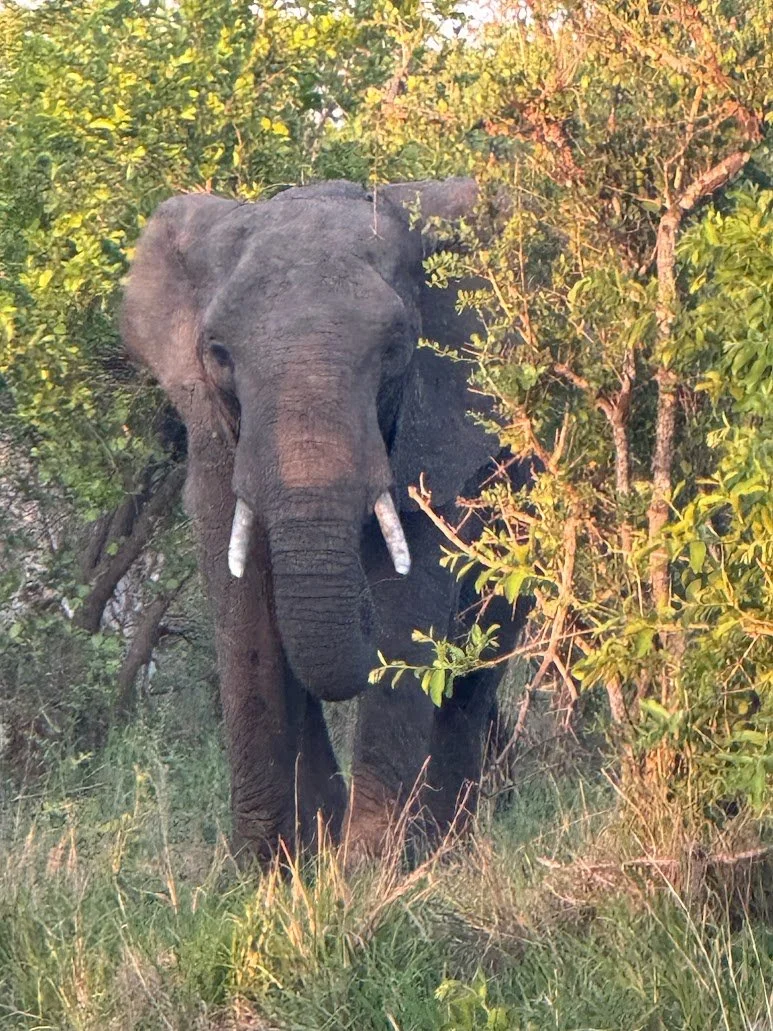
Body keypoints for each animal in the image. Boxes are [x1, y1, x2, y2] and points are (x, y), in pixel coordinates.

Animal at [121, 178, 528, 863]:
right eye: (219, 355)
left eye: (397, 349)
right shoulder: (213, 435)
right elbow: (243, 606)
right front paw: (272, 867)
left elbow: (408, 598)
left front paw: (370, 865)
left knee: (480, 663)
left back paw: (443, 846)